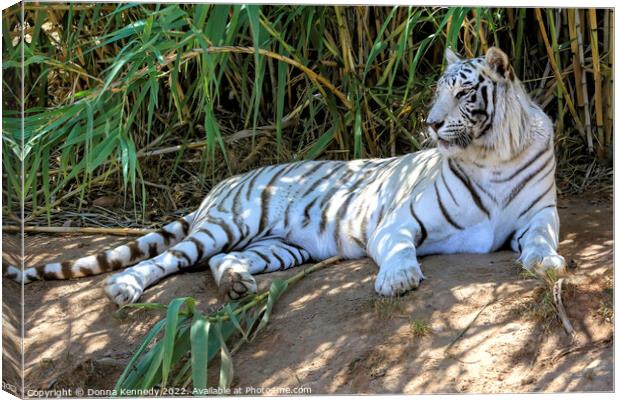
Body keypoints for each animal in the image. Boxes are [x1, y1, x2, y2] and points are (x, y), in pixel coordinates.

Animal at [6, 47, 568, 304]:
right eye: (436, 92)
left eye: (464, 92)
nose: (430, 122)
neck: (492, 153)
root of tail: (221, 183)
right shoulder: (397, 221)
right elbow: (399, 248)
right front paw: (398, 278)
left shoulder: (539, 215)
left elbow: (541, 240)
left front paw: (547, 264)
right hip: (227, 224)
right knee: (169, 258)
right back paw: (124, 286)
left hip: (280, 246)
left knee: (224, 261)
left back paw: (237, 285)